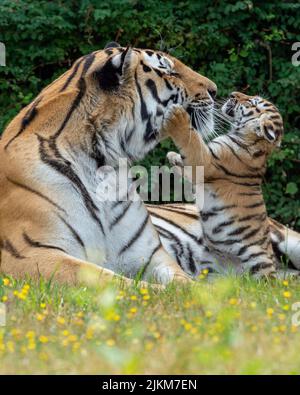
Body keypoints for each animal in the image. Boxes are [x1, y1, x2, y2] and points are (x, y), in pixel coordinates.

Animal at [0, 43, 218, 286]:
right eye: (167, 71)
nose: (215, 90)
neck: (104, 162)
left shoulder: (150, 255)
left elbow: (184, 284)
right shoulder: (27, 252)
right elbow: (114, 282)